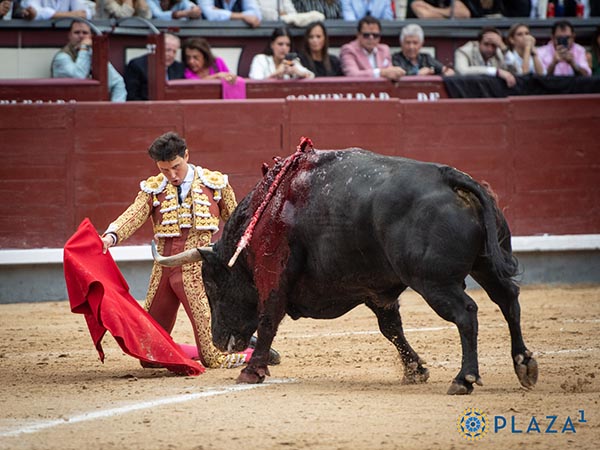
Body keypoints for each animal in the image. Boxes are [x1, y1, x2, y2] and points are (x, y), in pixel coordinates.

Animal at [152, 148, 536, 394]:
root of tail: (449, 178)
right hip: (486, 265)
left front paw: (251, 371)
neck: (268, 209)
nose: (218, 340)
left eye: (213, 285)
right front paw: (415, 370)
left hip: (433, 282)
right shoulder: (373, 289)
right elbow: (391, 328)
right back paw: (524, 365)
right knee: (508, 301)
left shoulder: (273, 276)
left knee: (466, 313)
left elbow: (269, 319)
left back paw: (464, 379)